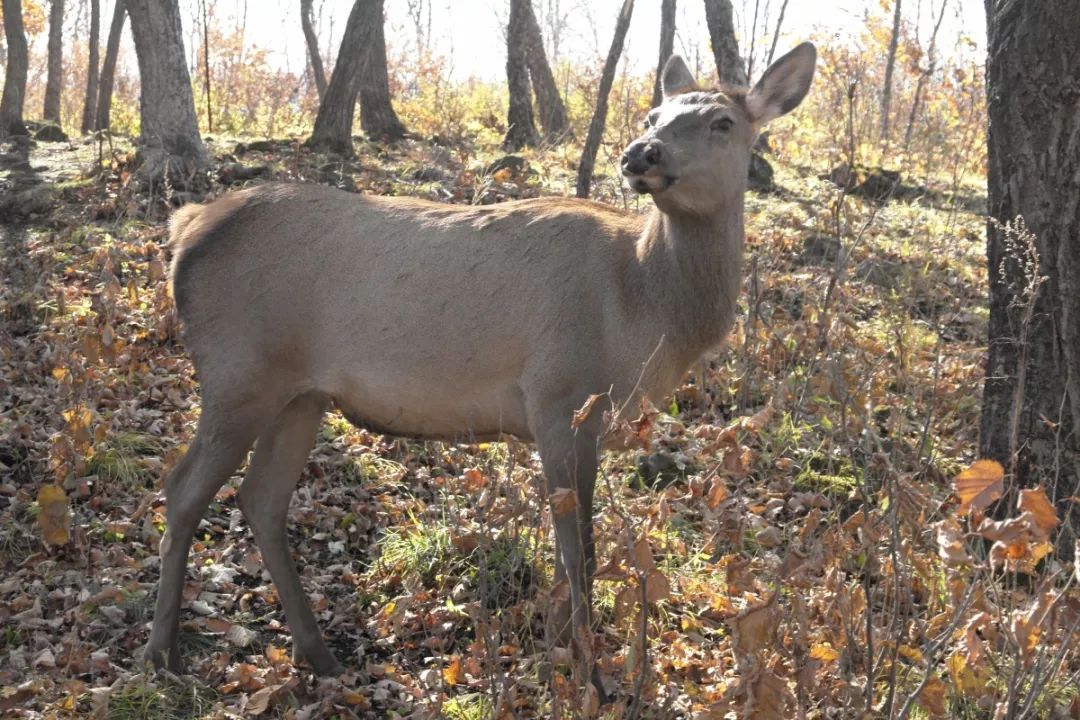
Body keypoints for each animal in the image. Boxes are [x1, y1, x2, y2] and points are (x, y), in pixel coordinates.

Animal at [145, 43, 816, 690]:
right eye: (654, 115)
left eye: (723, 122)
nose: (640, 152)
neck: (646, 311)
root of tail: (185, 229)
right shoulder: (559, 395)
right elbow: (579, 550)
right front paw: (591, 675)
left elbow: (570, 551)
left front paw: (566, 658)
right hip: (238, 370)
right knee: (182, 490)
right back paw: (162, 653)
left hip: (300, 394)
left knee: (261, 498)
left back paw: (319, 655)